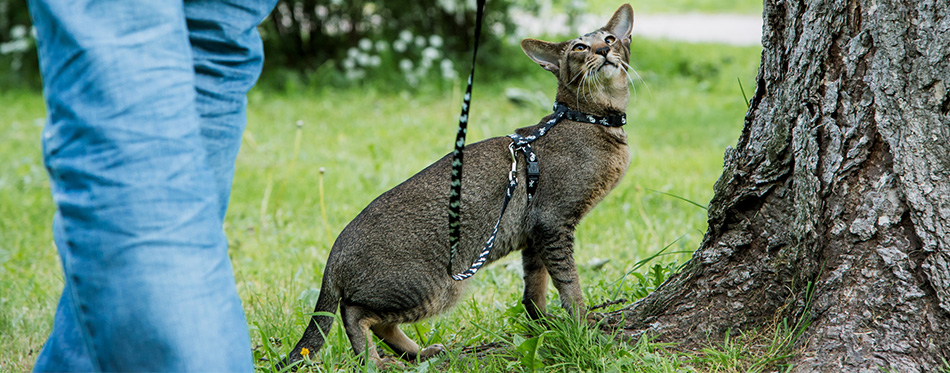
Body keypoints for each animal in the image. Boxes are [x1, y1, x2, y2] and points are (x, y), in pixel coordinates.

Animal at [286, 2, 636, 364]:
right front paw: (583, 323)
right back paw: (373, 361)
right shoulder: (552, 222)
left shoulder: (533, 233)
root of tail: (334, 253)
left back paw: (417, 353)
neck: (591, 120)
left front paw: (543, 324)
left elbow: (533, 288)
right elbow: (568, 281)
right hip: (435, 285)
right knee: (353, 312)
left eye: (610, 38)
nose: (603, 49)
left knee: (375, 320)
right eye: (580, 48)